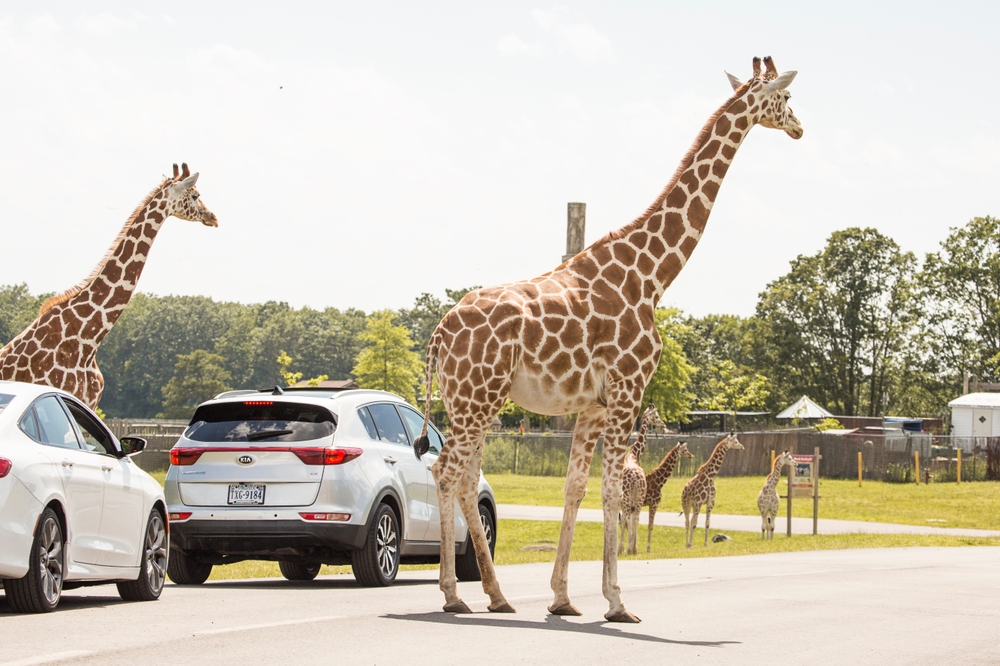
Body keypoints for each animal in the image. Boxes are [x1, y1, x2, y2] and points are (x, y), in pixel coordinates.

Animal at [616, 404, 664, 556]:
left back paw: (626, 548)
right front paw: (630, 546)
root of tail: (636, 480)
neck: (634, 454)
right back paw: (633, 548)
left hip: (630, 497)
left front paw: (623, 547)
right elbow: (629, 520)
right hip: (638, 496)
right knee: (635, 516)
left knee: (629, 517)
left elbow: (625, 521)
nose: (663, 423)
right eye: (656, 416)